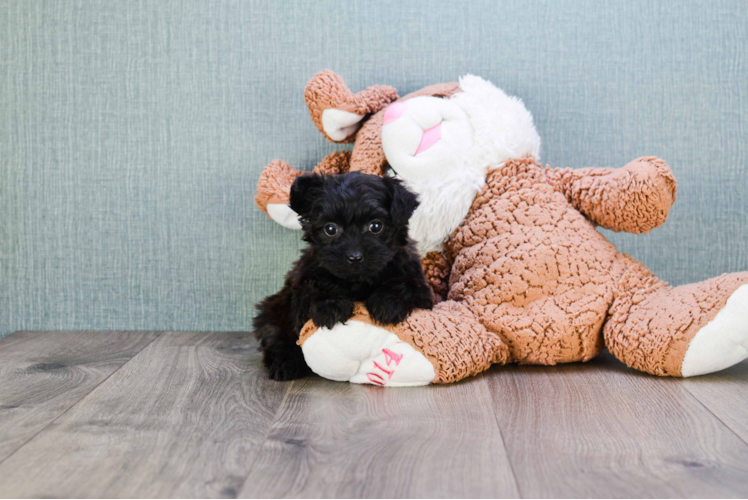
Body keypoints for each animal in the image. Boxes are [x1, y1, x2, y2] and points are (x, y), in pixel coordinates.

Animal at [254, 171, 436, 378]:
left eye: (376, 226)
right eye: (330, 229)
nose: (354, 257)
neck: (358, 282)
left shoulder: (418, 283)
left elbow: (404, 285)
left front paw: (388, 304)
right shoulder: (303, 280)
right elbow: (315, 285)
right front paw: (330, 306)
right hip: (274, 313)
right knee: (277, 338)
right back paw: (285, 365)